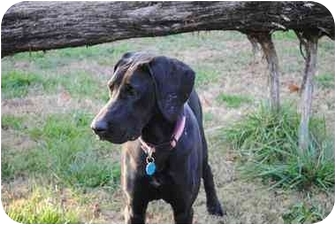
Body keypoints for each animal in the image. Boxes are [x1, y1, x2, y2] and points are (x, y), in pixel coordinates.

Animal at [90, 52, 224, 223]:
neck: (156, 146)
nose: (96, 128)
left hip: (203, 148)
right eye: (110, 87)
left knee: (207, 172)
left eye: (132, 91)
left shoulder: (184, 210)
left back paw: (214, 205)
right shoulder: (134, 209)